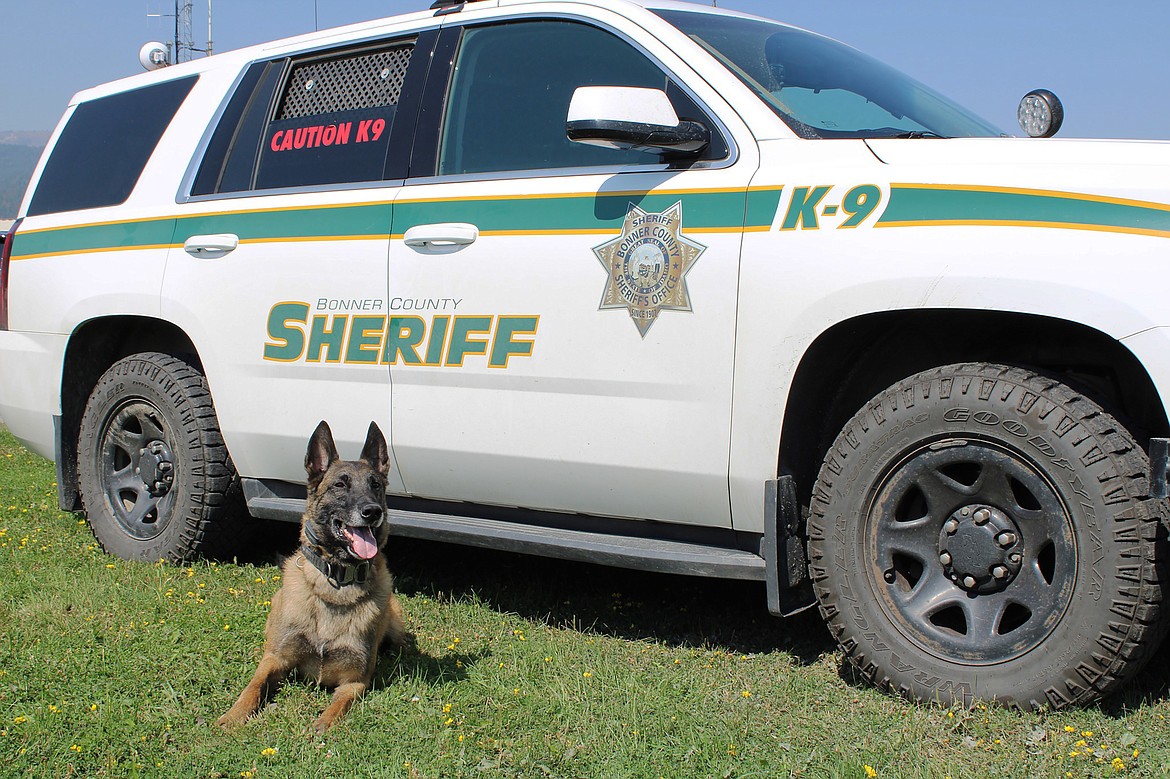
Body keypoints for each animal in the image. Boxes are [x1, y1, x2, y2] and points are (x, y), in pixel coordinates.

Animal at [218, 418, 407, 729]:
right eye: (340, 484)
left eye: (376, 485)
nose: (372, 511)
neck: (336, 584)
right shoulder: (275, 660)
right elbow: (253, 686)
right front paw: (233, 715)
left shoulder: (355, 681)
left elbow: (338, 705)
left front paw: (322, 724)